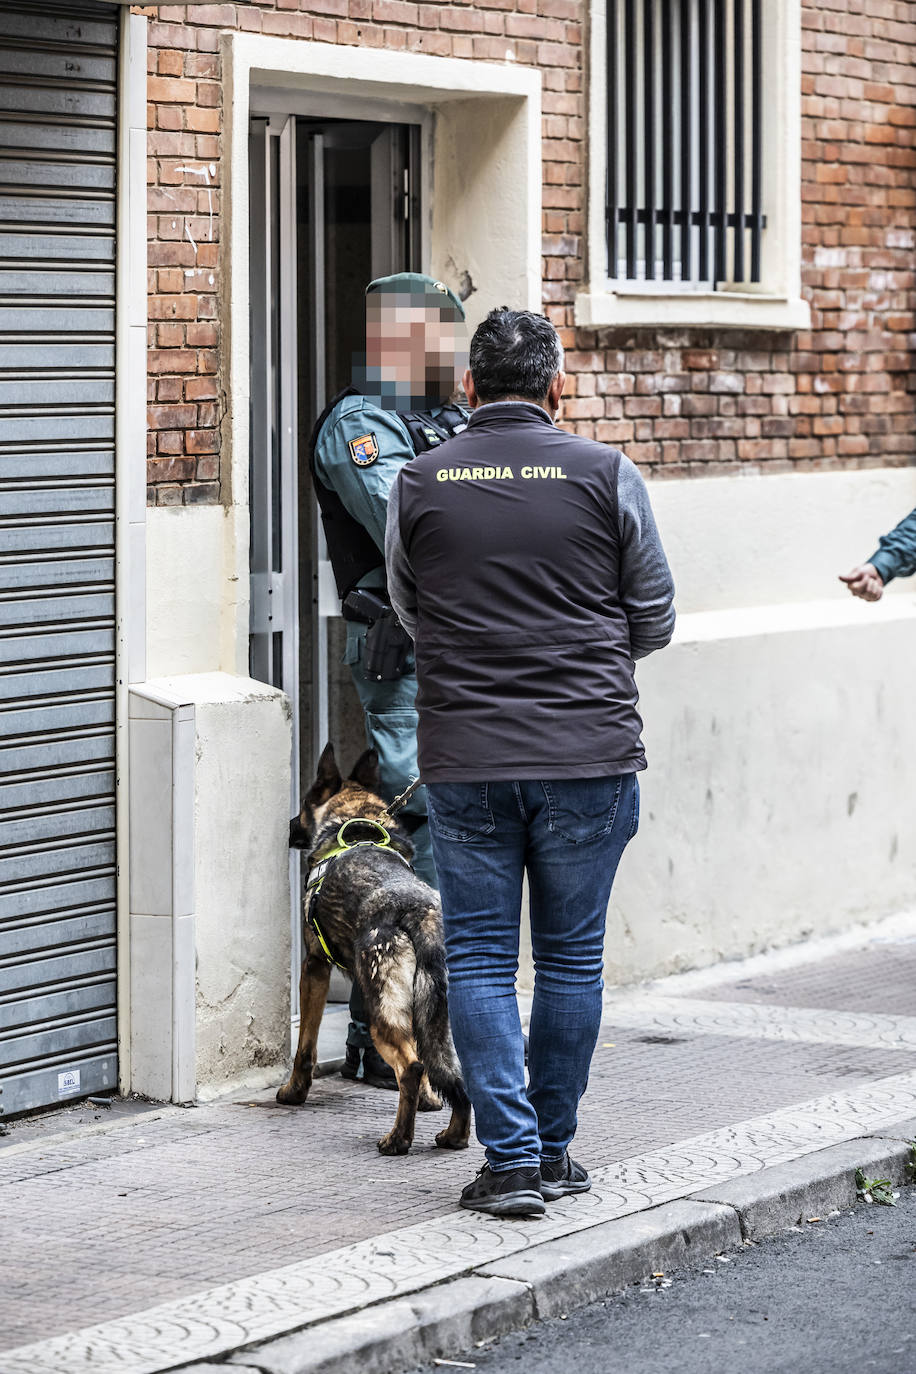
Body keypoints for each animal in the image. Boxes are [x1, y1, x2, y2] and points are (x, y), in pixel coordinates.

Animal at [277, 741, 472, 1159]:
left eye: (305, 800)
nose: (289, 828)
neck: (356, 820)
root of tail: (420, 912)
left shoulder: (313, 969)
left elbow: (305, 1047)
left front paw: (294, 1091)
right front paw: (430, 1101)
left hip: (379, 1010)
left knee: (411, 1067)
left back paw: (398, 1139)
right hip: (442, 1014)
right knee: (452, 1068)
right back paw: (455, 1134)